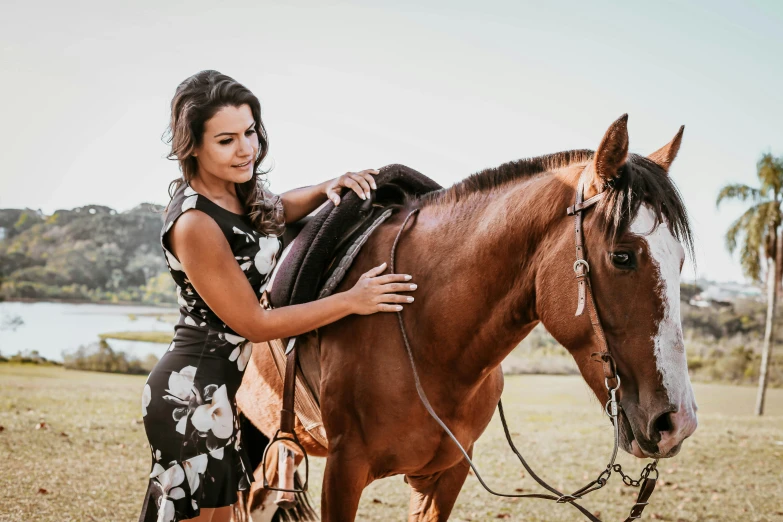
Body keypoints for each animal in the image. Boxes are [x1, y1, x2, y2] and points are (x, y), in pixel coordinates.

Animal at [237, 115, 700, 520]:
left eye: (678, 262)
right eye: (622, 257)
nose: (678, 422)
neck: (426, 334)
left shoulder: (446, 476)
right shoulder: (343, 473)